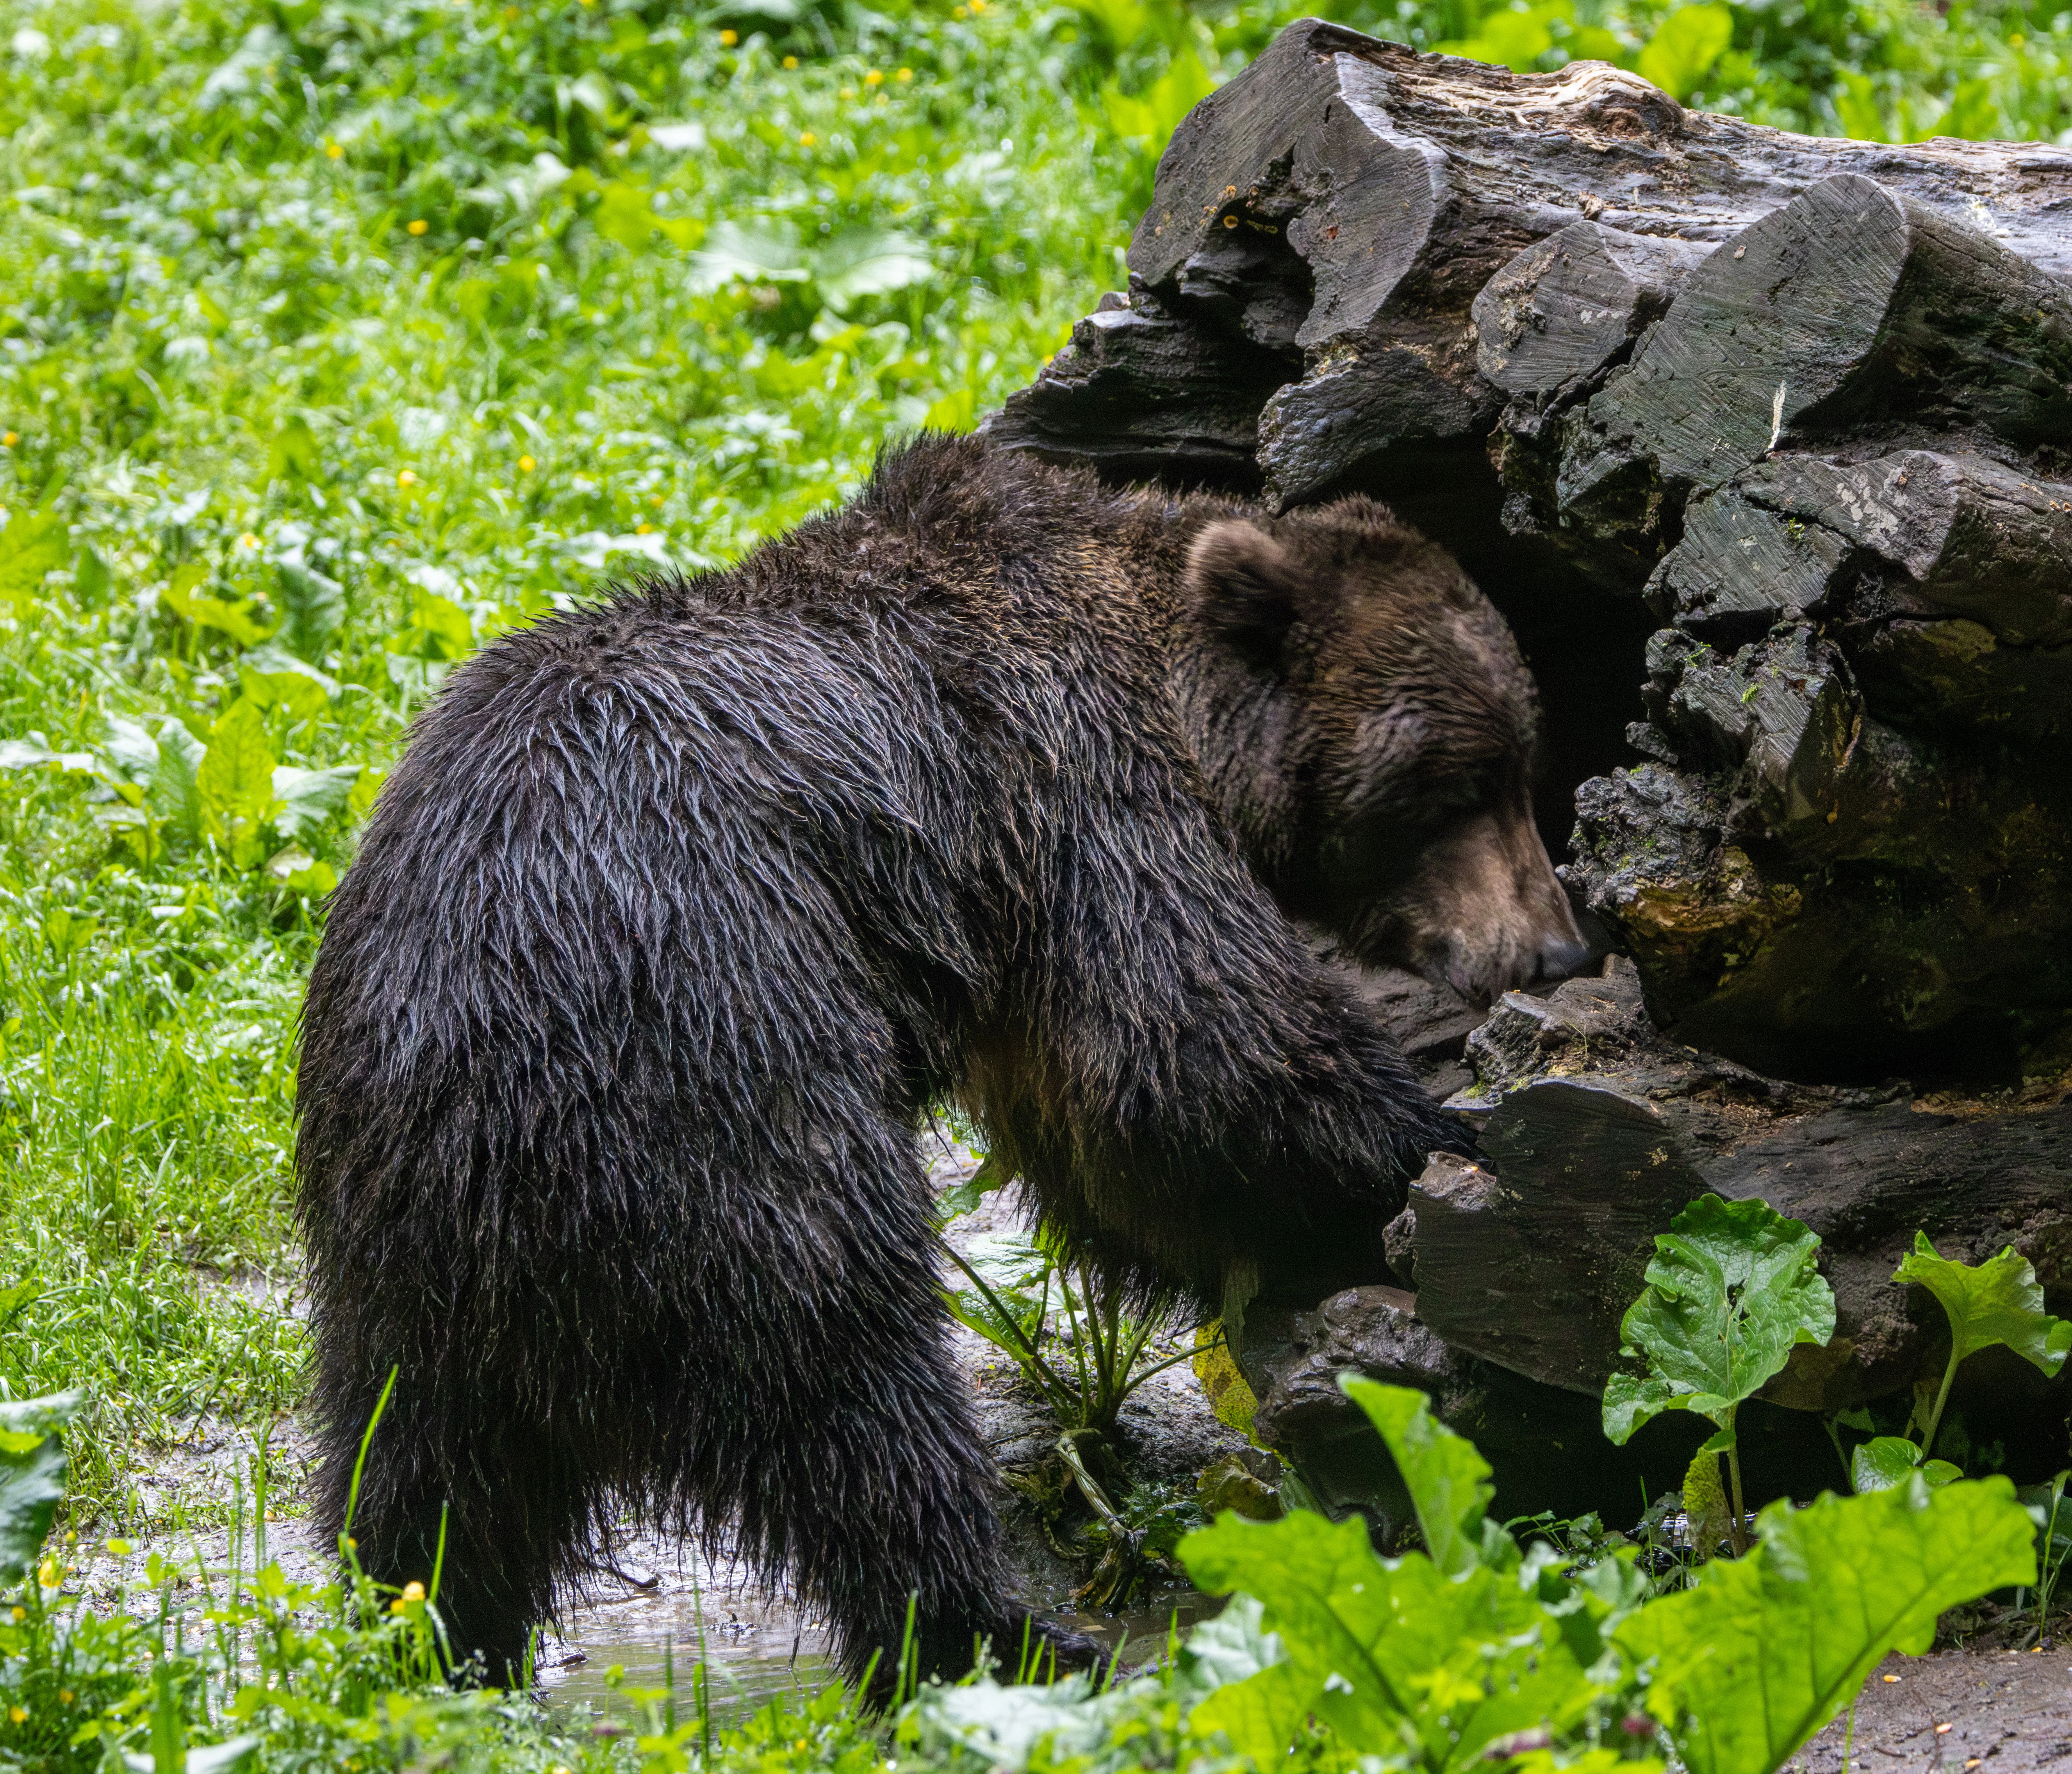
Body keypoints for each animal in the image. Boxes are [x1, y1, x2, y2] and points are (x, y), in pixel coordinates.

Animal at [294, 432, 1583, 1691]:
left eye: (1524, 763)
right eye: (1455, 781)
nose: (1554, 945)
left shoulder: (1007, 935)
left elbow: (1112, 1147)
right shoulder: (1071, 783)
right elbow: (1192, 1056)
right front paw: (1452, 1141)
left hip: (393, 1238)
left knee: (420, 1468)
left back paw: (438, 1635)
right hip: (718, 1092)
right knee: (854, 1387)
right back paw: (995, 1631)